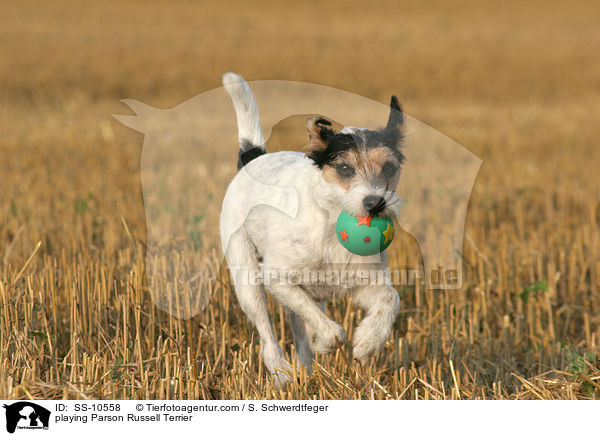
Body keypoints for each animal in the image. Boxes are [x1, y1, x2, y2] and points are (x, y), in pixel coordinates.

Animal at [219, 73, 404, 386]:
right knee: (266, 333)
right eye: (344, 169)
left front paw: (368, 341)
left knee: (300, 329)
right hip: (247, 280)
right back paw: (281, 371)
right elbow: (334, 332)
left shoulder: (365, 281)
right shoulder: (277, 278)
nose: (375, 203)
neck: (330, 224)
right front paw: (327, 341)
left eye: (389, 168)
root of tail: (252, 159)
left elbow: (391, 299)